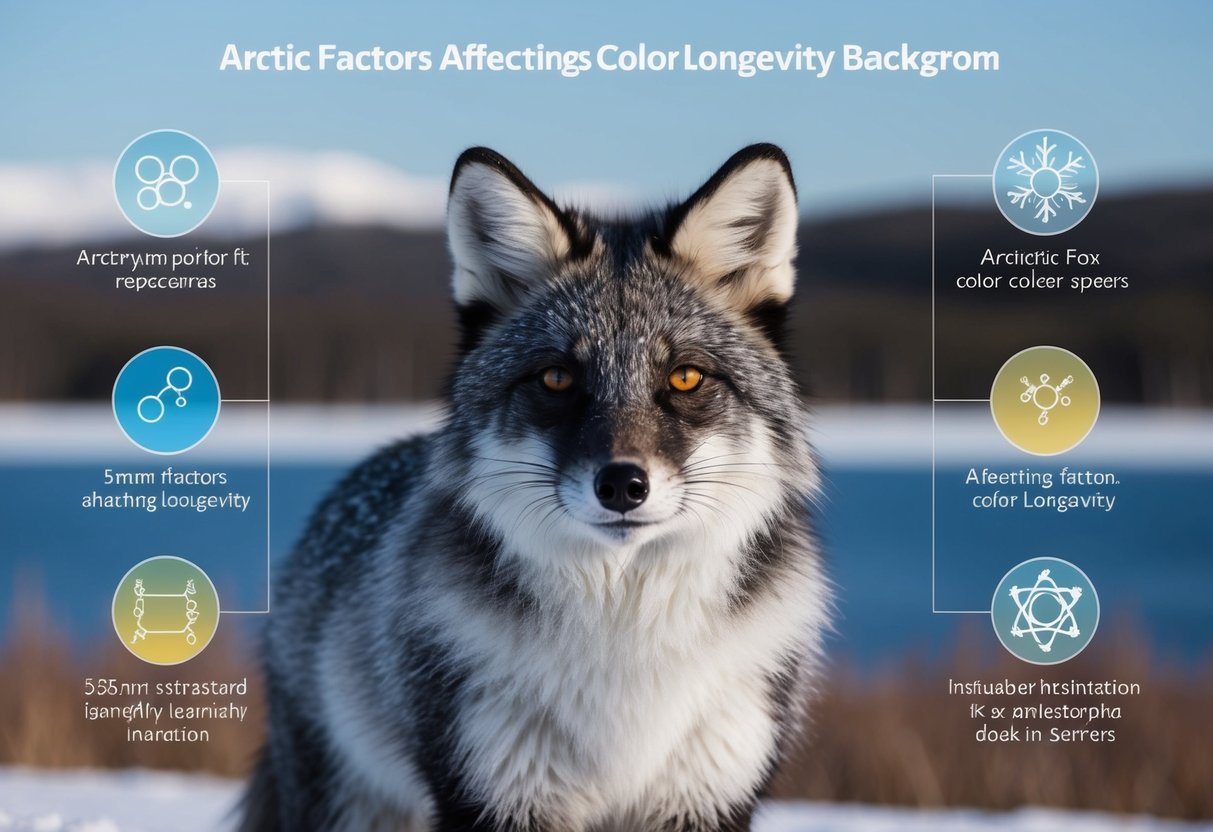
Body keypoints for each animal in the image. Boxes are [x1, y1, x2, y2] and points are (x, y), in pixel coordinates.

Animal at [240, 143, 831, 832]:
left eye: (685, 377)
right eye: (556, 378)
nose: (622, 485)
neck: (623, 648)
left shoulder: (706, 792)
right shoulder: (494, 791)